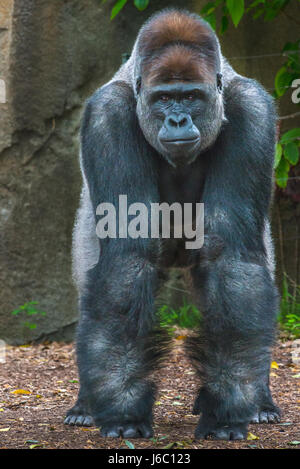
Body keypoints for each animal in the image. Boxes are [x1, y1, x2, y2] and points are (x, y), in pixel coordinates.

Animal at [64, 8, 280, 438]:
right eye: (164, 98)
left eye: (191, 97)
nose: (178, 119)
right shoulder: (108, 114)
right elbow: (129, 256)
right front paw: (124, 412)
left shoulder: (253, 109)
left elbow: (228, 255)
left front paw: (227, 406)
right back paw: (85, 405)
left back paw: (260, 402)